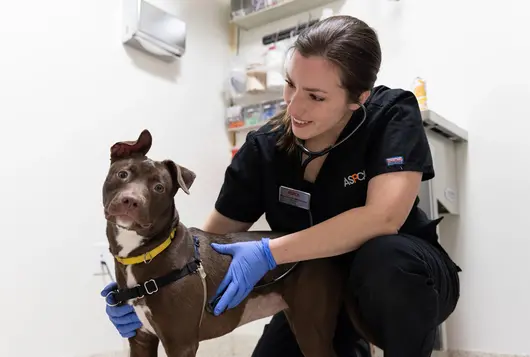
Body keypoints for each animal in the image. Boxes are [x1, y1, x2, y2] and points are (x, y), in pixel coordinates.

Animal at [100, 129, 364, 356]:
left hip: (310, 327)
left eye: (158, 187)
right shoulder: (141, 339)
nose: (130, 200)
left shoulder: (180, 343)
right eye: (123, 174)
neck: (145, 253)